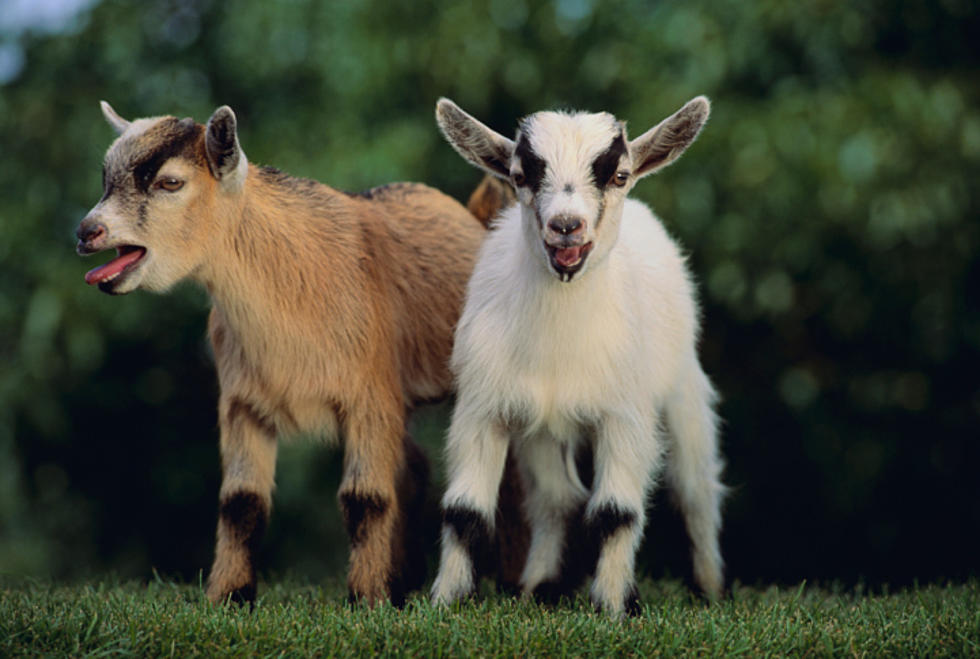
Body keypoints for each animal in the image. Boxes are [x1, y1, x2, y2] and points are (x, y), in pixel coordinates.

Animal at [74, 104, 490, 608]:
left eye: (170, 182)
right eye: (105, 176)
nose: (88, 232)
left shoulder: (370, 397)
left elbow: (365, 497)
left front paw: (366, 601)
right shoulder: (242, 403)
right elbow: (241, 502)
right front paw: (228, 596)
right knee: (413, 467)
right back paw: (406, 579)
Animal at [430, 95, 728, 616]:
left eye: (619, 175)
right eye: (520, 175)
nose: (566, 225)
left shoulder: (625, 416)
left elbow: (615, 512)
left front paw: (612, 608)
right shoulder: (483, 408)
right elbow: (464, 511)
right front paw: (444, 602)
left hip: (684, 389)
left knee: (696, 489)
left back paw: (709, 588)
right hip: (543, 431)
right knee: (558, 497)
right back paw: (538, 586)